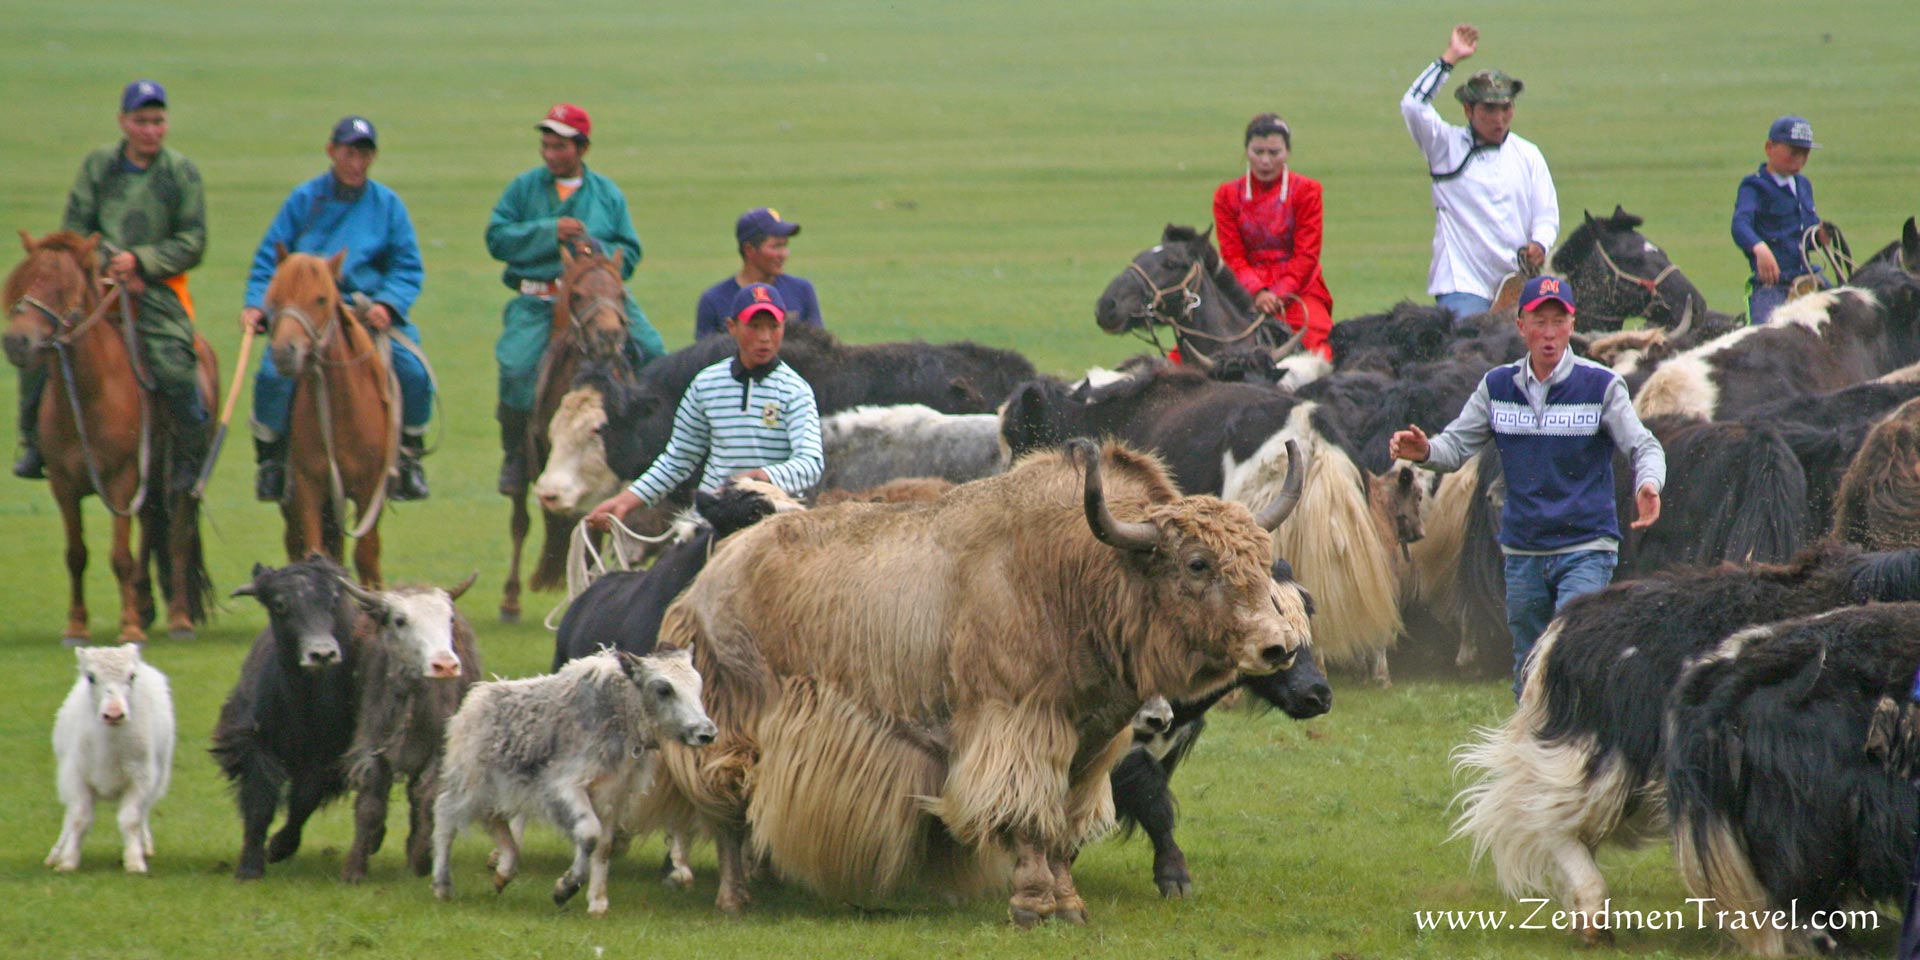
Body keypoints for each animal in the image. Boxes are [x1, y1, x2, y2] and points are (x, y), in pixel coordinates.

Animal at [4, 228, 216, 641]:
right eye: (23, 280)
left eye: (63, 287)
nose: (17, 342)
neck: (87, 397)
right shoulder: (63, 485)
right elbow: (76, 555)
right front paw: (77, 626)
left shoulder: (121, 481)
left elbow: (120, 556)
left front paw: (129, 627)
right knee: (150, 530)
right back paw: (145, 604)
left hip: (179, 481)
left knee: (178, 539)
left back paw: (179, 619)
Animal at [266, 249, 397, 583]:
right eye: (273, 298)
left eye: (322, 299)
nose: (284, 352)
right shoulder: (309, 487)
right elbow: (314, 551)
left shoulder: (369, 490)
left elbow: (366, 555)